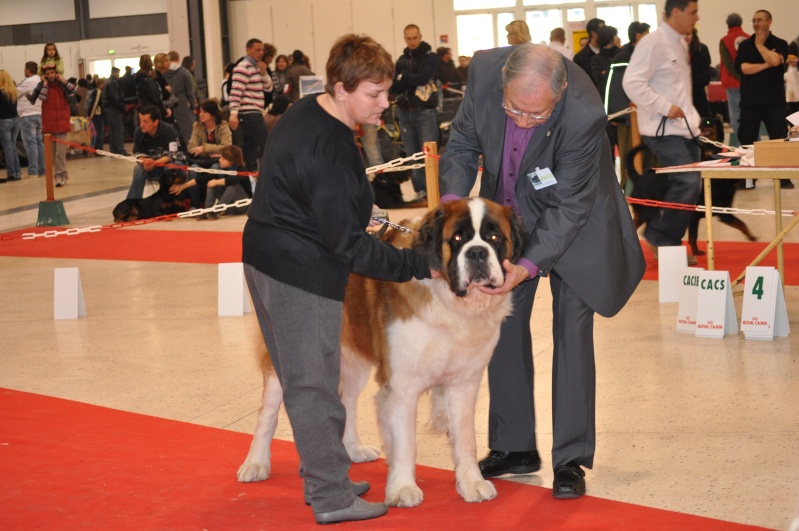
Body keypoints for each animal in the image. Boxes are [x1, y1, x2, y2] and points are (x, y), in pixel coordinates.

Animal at [236, 197, 524, 510]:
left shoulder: (464, 383)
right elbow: (406, 442)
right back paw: (255, 463)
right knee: (268, 411)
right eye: (457, 239)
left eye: (494, 238)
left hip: (353, 358)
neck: (450, 301)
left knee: (347, 402)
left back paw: (353, 449)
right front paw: (402, 488)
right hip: (286, 351)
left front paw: (471, 483)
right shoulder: (402, 385)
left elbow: (465, 438)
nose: (477, 253)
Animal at [628, 117, 752, 255]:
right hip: (647, 211)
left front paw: (751, 236)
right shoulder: (697, 217)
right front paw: (696, 252)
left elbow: (741, 223)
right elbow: (693, 236)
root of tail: (638, 178)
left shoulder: (724, 213)